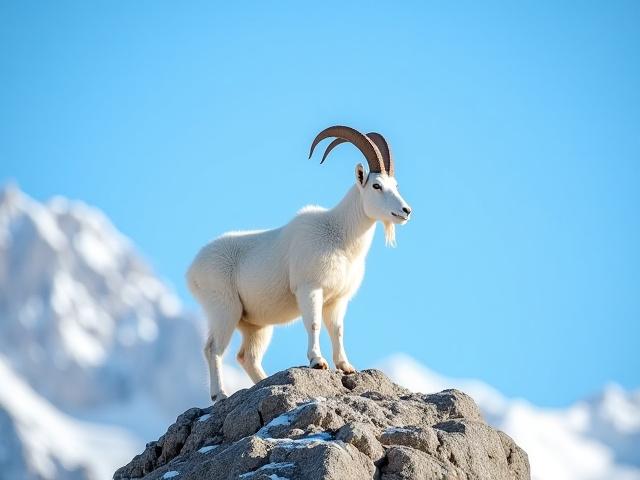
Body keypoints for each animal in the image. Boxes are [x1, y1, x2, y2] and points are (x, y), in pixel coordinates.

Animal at [187, 126, 412, 401]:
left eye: (395, 185)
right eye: (377, 185)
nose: (406, 211)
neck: (338, 235)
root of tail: (192, 270)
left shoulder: (337, 301)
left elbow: (337, 330)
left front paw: (346, 366)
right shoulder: (310, 289)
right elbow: (314, 324)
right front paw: (318, 362)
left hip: (254, 325)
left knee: (247, 356)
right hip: (224, 310)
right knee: (213, 349)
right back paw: (220, 394)